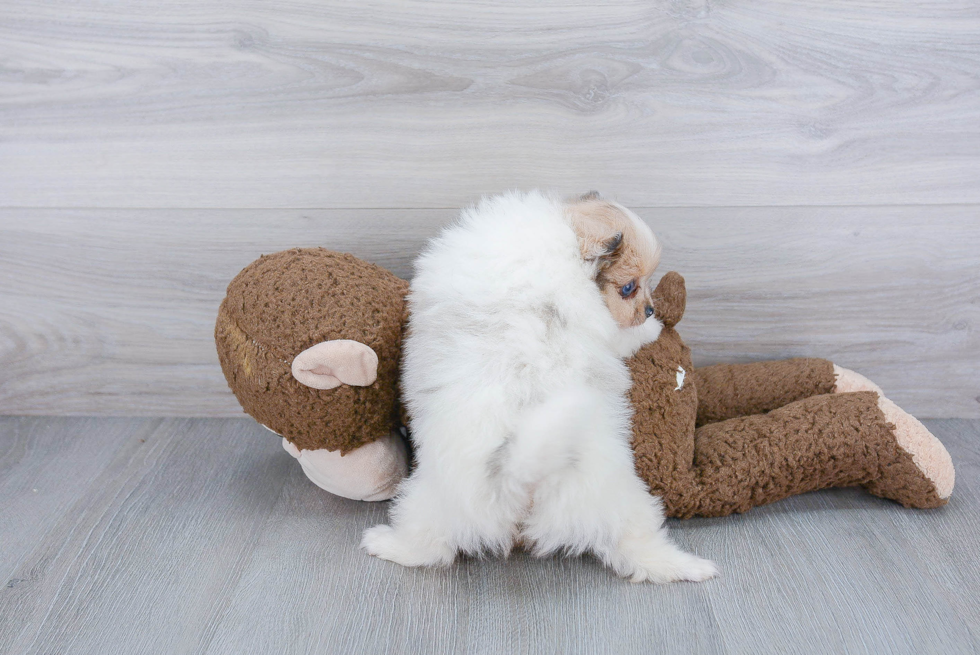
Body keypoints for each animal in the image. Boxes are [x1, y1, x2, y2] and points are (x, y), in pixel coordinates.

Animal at [364, 190, 716, 584]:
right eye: (629, 288)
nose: (652, 310)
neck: (565, 236)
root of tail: (520, 478)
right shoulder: (605, 326)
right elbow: (624, 335)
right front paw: (650, 330)